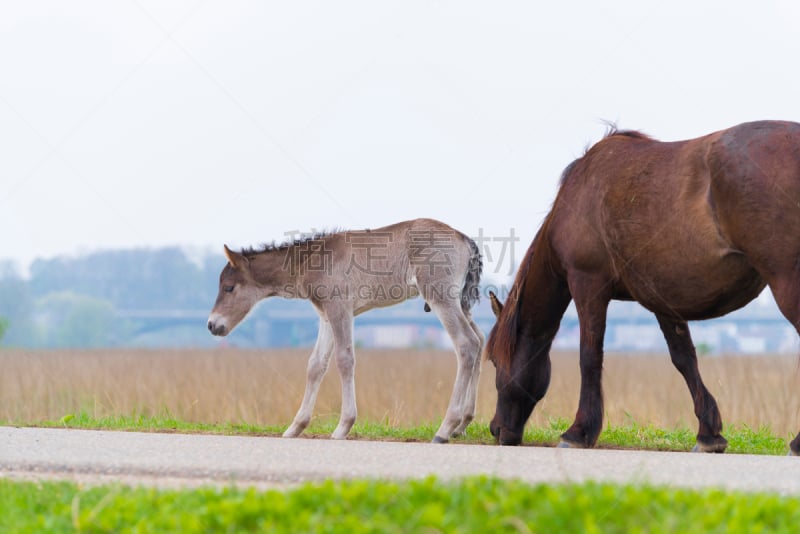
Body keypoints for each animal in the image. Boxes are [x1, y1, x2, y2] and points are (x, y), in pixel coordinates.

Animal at [208, 218, 482, 444]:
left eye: (229, 287)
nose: (212, 325)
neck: (312, 260)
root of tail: (465, 239)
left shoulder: (340, 308)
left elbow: (344, 359)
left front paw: (343, 427)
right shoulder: (326, 316)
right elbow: (316, 365)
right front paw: (295, 427)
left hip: (440, 296)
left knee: (466, 343)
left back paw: (445, 428)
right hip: (460, 302)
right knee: (479, 341)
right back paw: (462, 423)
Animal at [484, 121, 800, 456]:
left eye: (495, 361)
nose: (496, 429)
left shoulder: (587, 284)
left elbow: (589, 356)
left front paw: (579, 432)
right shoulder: (663, 298)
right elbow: (684, 359)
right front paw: (709, 433)